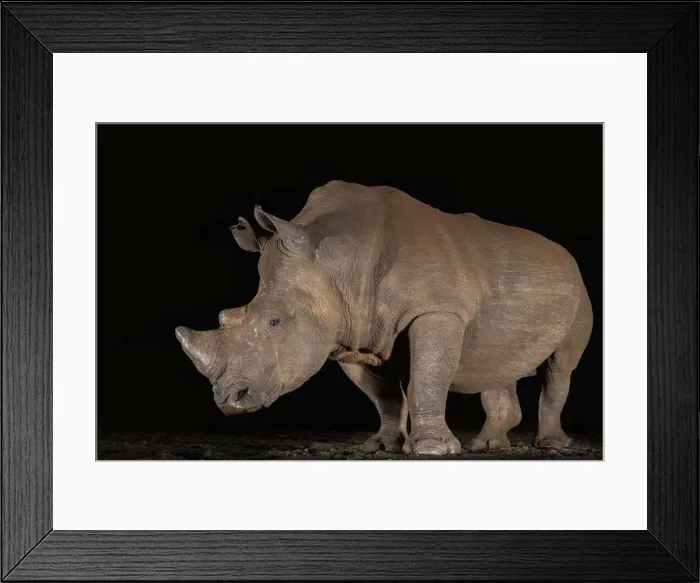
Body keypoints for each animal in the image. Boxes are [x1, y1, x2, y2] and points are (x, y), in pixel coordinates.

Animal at [175, 180, 593, 456]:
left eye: (275, 322)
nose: (228, 400)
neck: (337, 260)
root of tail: (565, 255)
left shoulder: (436, 308)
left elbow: (428, 376)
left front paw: (432, 450)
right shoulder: (350, 332)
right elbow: (383, 396)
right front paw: (380, 446)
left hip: (579, 288)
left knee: (560, 366)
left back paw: (551, 445)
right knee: (499, 359)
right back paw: (487, 444)